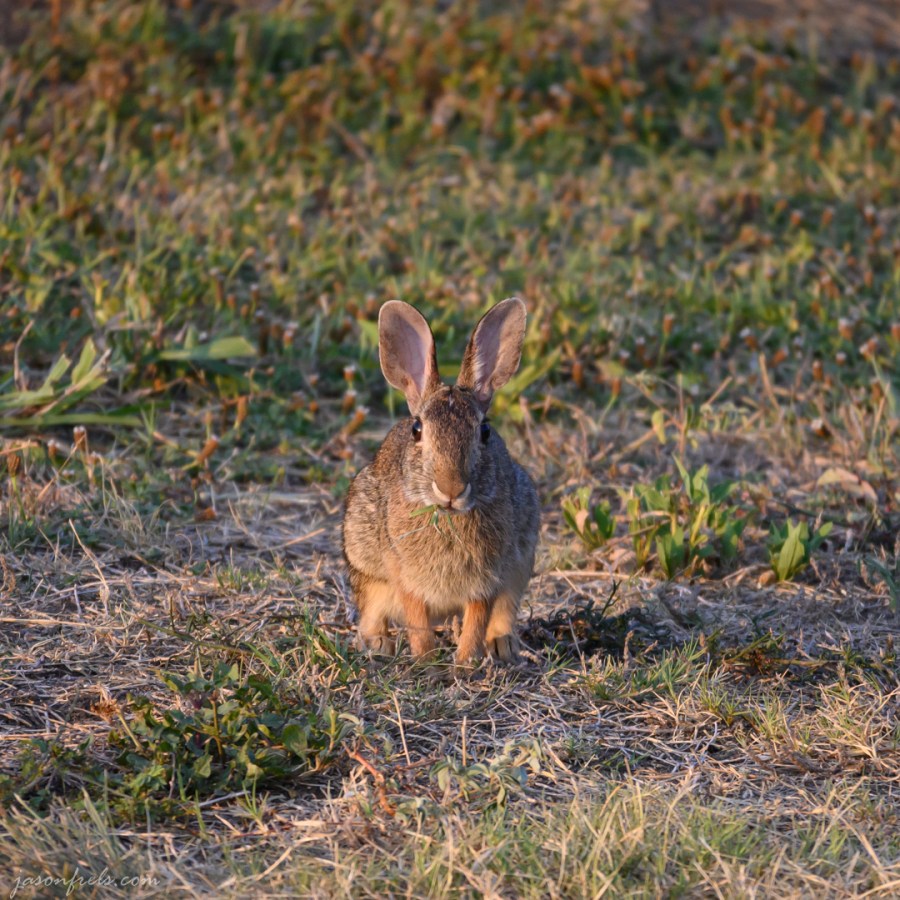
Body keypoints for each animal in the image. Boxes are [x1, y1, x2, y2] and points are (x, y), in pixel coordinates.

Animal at [342, 297, 540, 668]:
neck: (446, 516)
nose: (451, 488)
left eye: (485, 431)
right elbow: (417, 620)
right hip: (365, 564)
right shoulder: (405, 577)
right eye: (417, 429)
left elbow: (477, 619)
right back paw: (377, 643)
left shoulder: (488, 578)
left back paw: (502, 645)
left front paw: (466, 664)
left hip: (520, 566)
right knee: (373, 611)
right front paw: (426, 661)